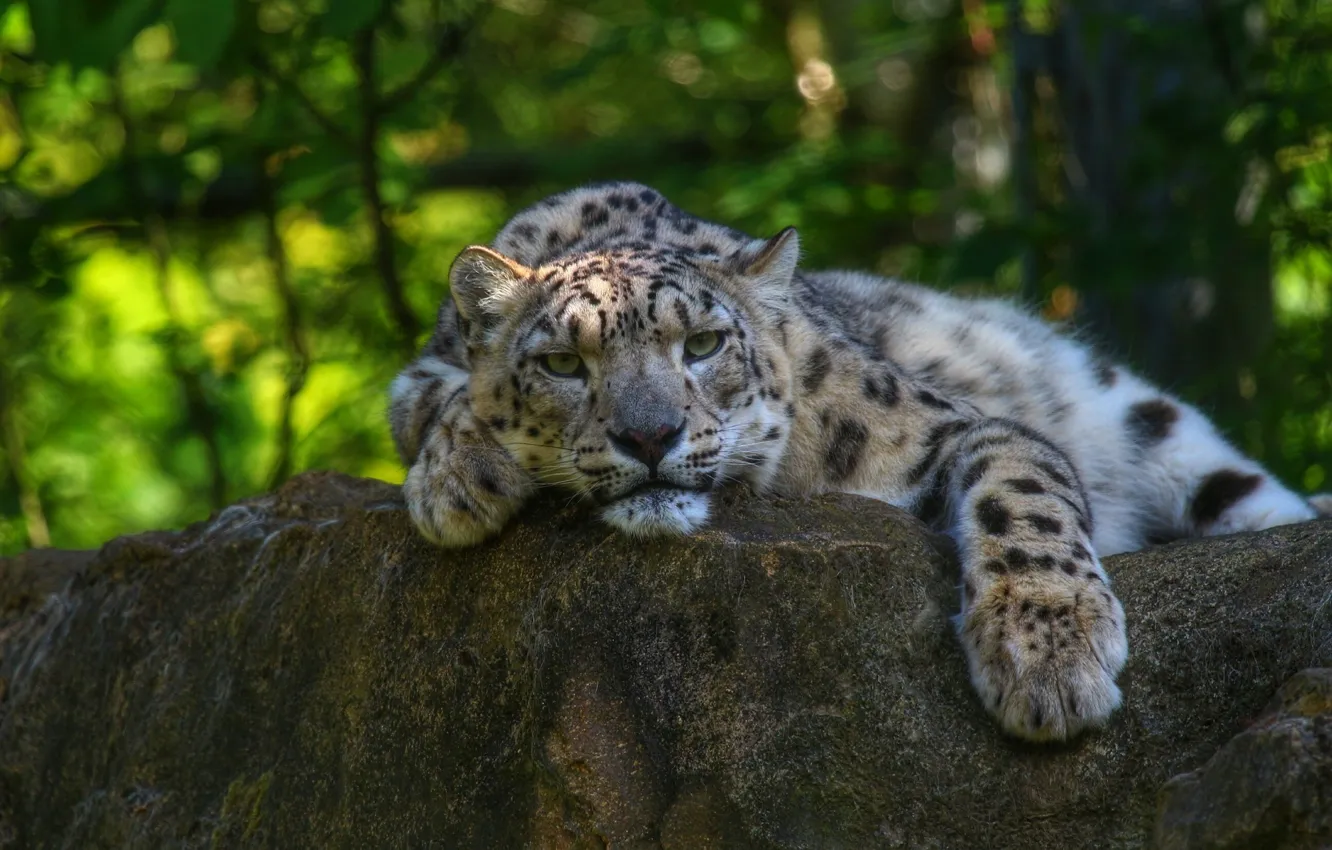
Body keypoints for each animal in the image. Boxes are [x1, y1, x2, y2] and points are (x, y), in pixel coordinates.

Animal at [389, 181, 1331, 742]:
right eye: (561, 363)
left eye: (703, 344)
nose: (650, 437)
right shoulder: (415, 379)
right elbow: (438, 398)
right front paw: (455, 482)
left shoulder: (953, 428)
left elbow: (1022, 491)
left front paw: (1049, 660)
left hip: (1149, 422)